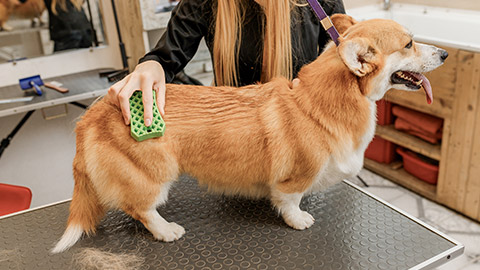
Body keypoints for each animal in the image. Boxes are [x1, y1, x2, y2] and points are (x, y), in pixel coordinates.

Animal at [51, 15, 446, 253]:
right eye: (409, 44)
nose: (444, 53)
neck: (320, 101)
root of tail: (93, 114)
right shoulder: (294, 179)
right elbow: (289, 201)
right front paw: (298, 221)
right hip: (154, 175)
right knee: (140, 208)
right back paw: (166, 230)